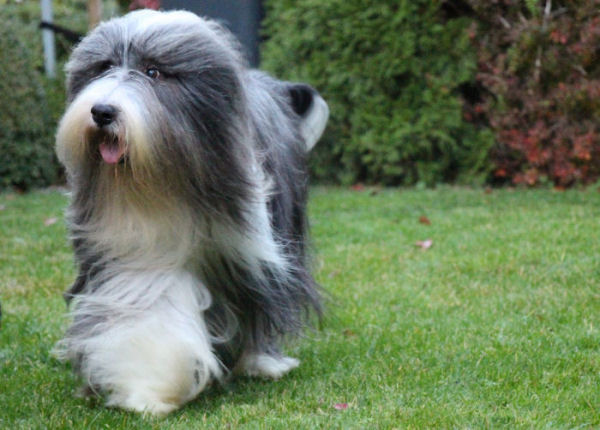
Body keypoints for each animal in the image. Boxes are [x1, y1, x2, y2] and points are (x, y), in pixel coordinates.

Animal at [54, 9, 328, 415]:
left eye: (153, 71)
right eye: (103, 67)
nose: (101, 111)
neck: (164, 179)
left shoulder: (251, 250)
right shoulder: (137, 248)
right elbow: (153, 304)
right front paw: (148, 389)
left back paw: (262, 361)